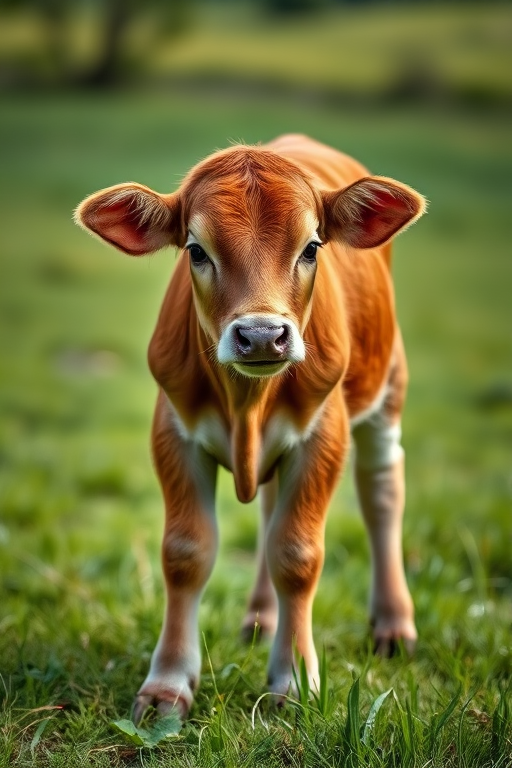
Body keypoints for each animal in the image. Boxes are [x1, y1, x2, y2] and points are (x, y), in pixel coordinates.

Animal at [75, 134, 426, 722]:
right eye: (196, 250)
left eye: (312, 247)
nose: (262, 335)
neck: (247, 405)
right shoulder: (173, 430)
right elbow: (186, 552)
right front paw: (167, 684)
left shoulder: (324, 433)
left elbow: (298, 554)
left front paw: (295, 680)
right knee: (268, 510)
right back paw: (262, 619)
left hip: (388, 384)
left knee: (382, 490)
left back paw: (394, 624)